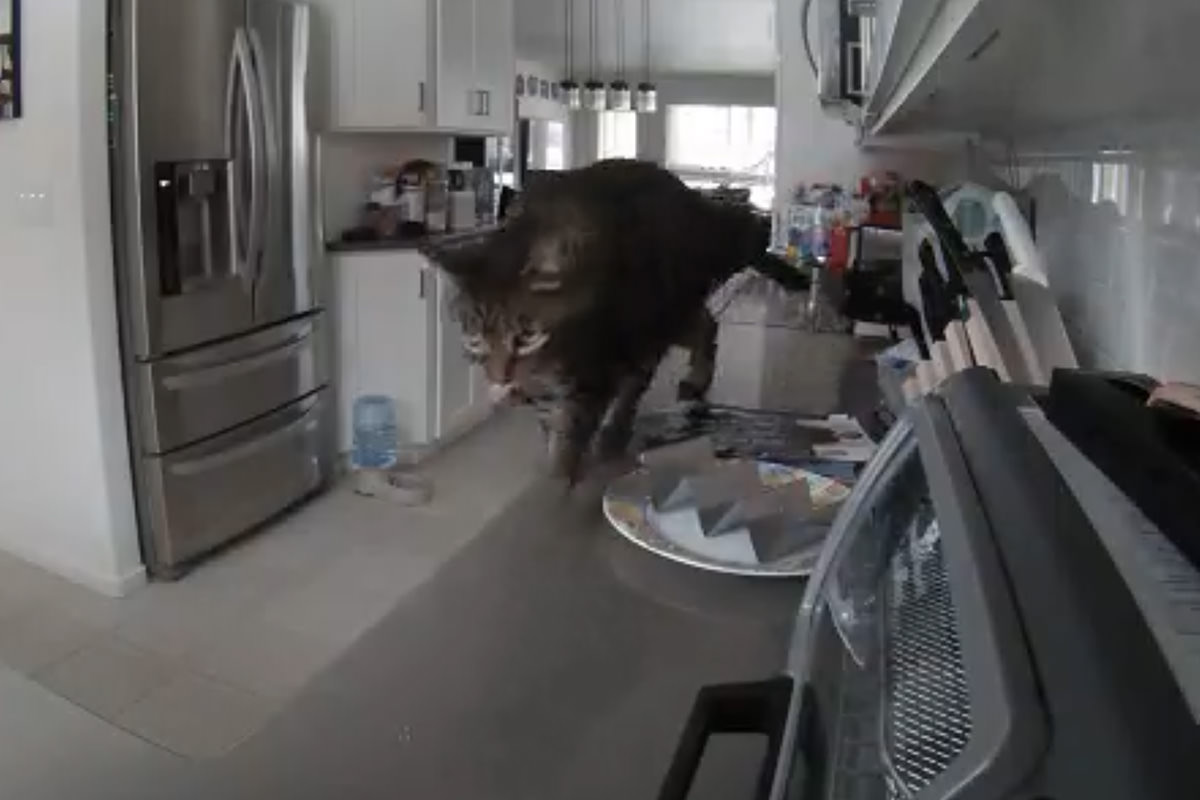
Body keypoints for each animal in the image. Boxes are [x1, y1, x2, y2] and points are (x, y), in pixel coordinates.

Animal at [422, 155, 806, 482]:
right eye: (475, 338)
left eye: (529, 334)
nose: (501, 378)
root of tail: (687, 194)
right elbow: (552, 419)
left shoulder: (599, 368)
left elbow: (575, 423)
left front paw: (561, 472)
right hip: (672, 318)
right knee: (707, 325)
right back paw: (694, 379)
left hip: (661, 315)